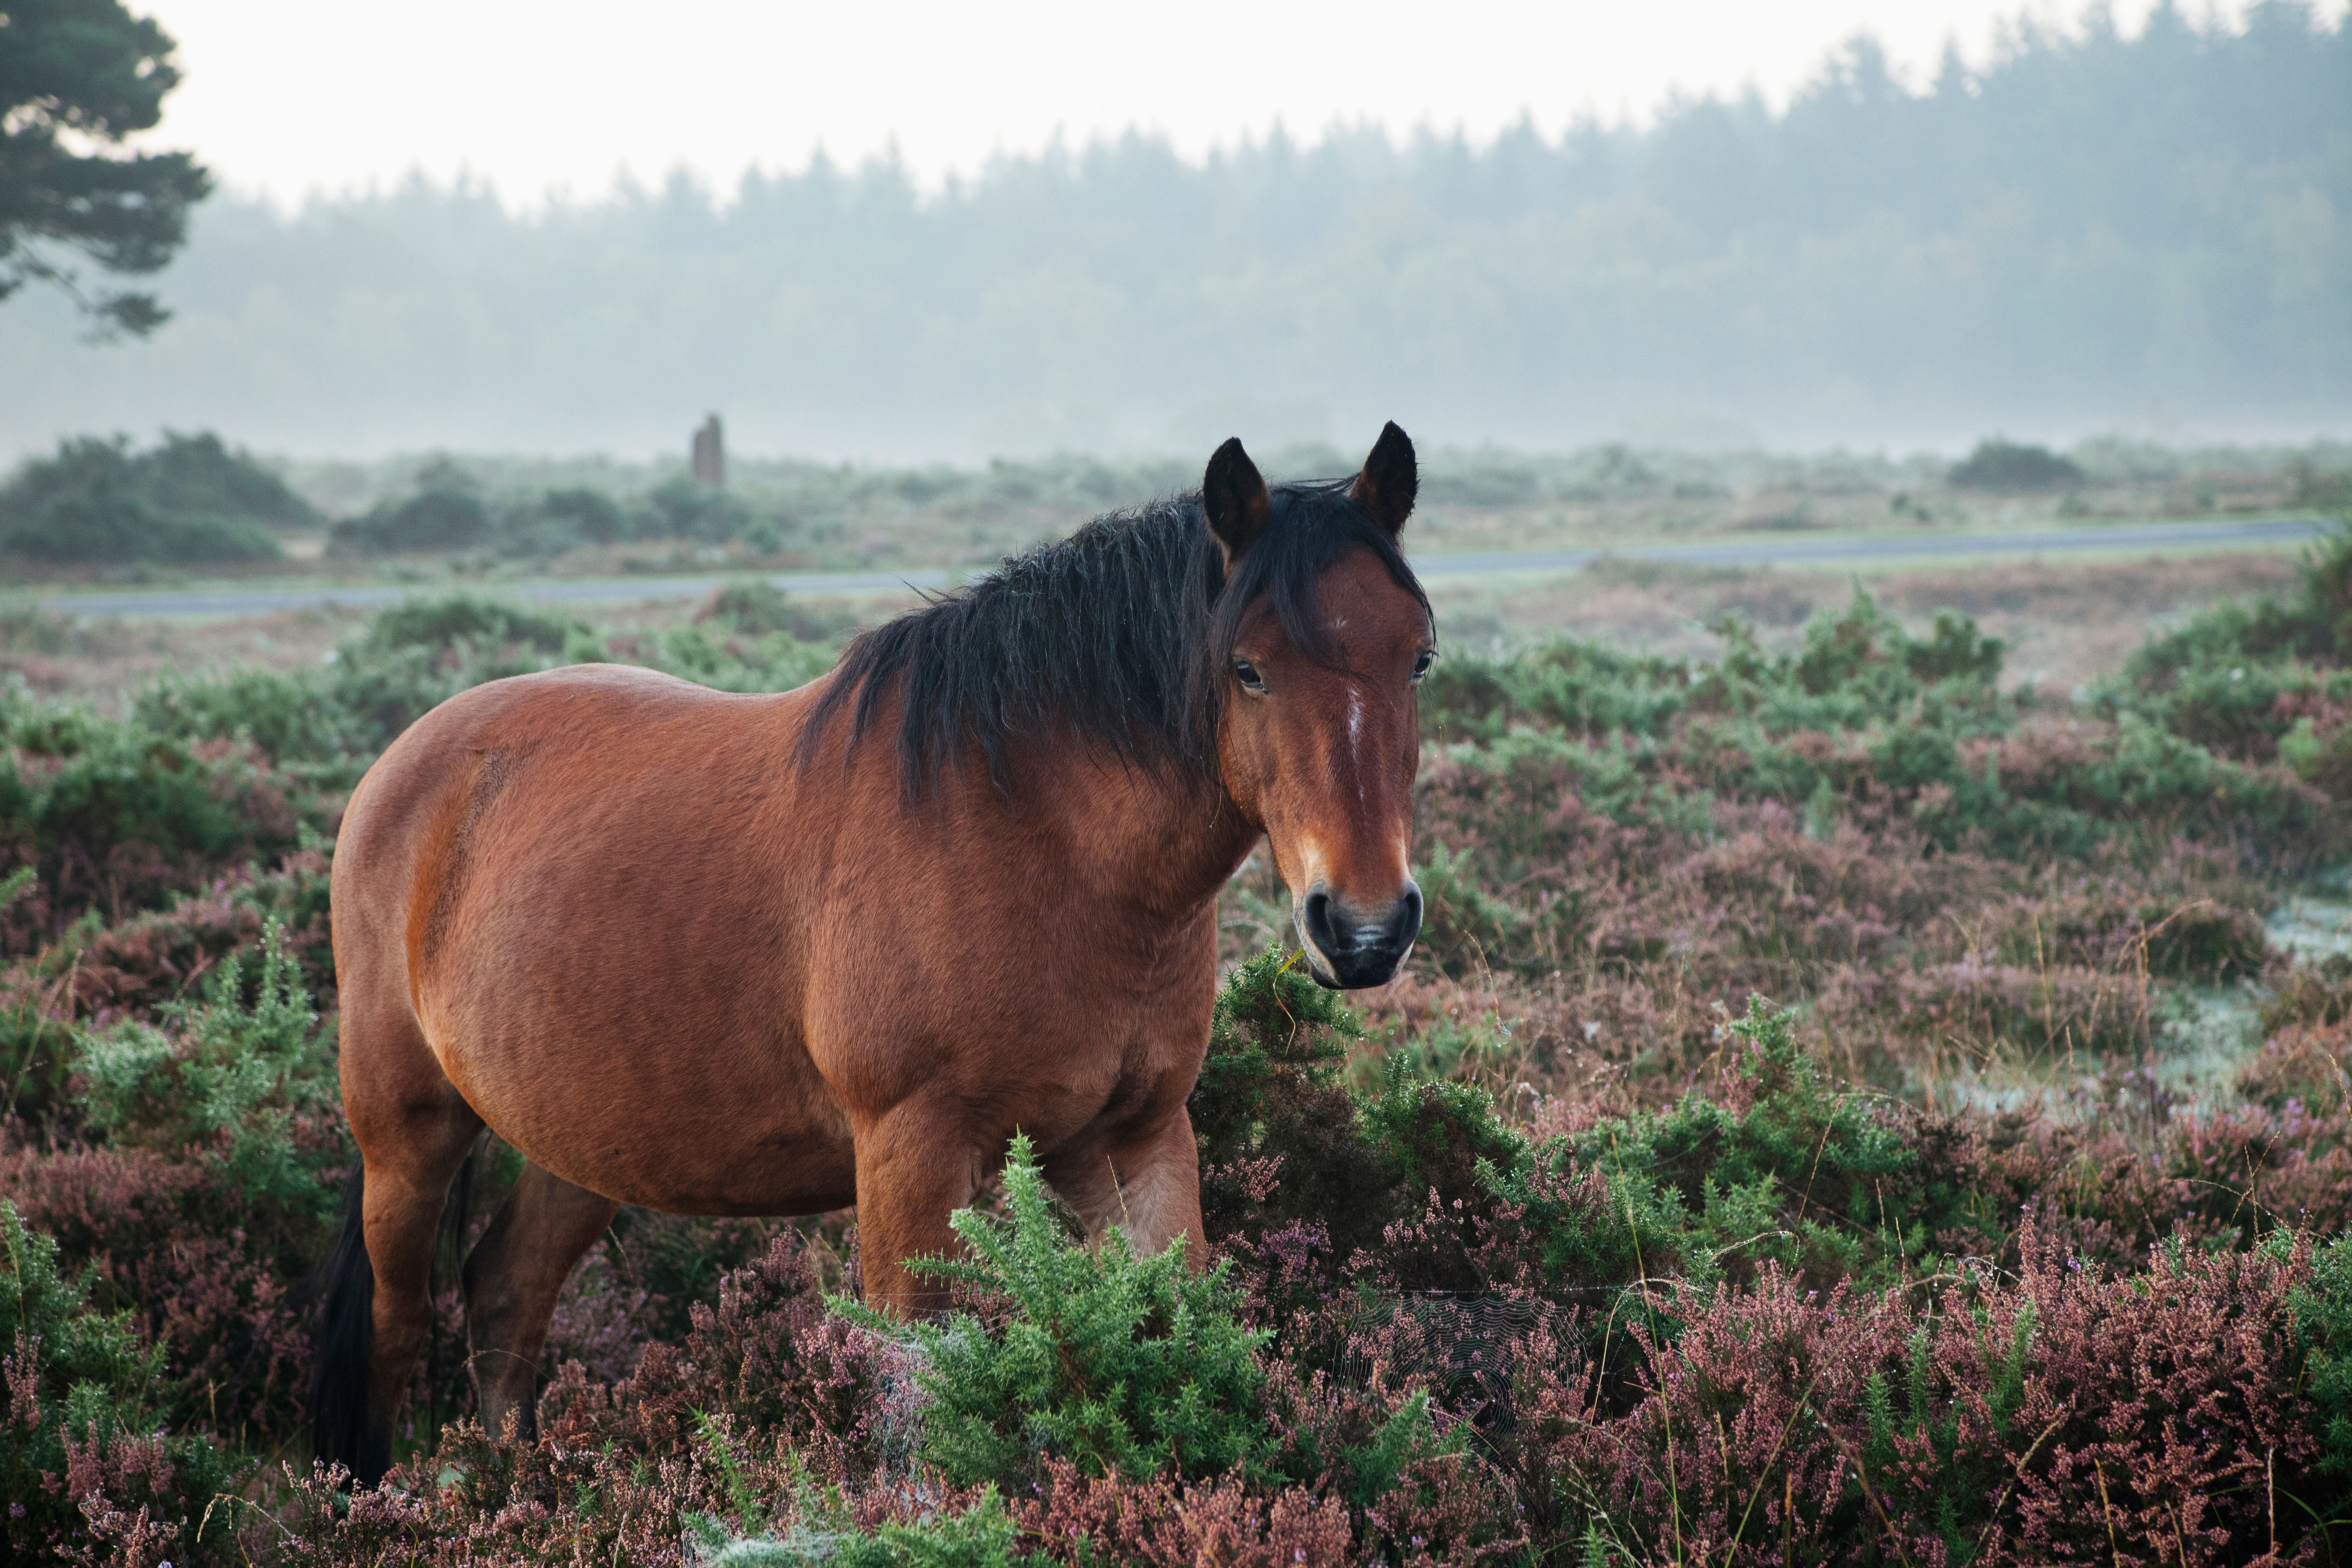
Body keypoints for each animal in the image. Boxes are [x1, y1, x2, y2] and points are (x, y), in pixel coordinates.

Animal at [312, 423, 1430, 1495]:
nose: (1364, 926)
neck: (1045, 844)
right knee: (393, 1325)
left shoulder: (1135, 1141)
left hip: (580, 1136)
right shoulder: (910, 1157)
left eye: (1417, 657)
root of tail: (406, 761)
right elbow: (922, 1404)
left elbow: (1179, 1340)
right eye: (1248, 667)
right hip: (407, 1133)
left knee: (508, 1295)